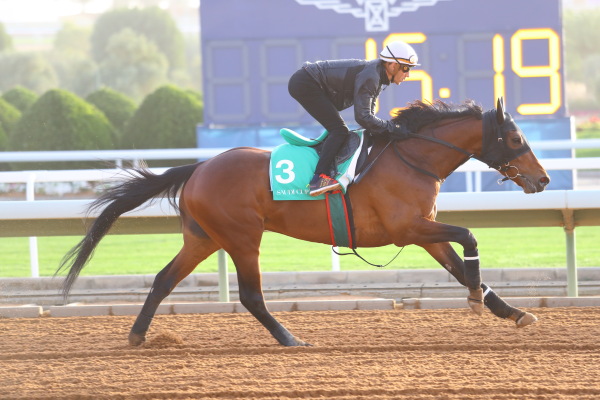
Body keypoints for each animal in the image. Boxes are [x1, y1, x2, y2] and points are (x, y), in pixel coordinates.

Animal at [57, 98, 548, 346]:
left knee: (162, 280)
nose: (543, 179)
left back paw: (137, 336)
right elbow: (470, 237)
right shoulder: (406, 230)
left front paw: (513, 312)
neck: (411, 158)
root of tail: (198, 167)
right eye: (515, 138)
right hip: (241, 237)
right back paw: (290, 339)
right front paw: (476, 297)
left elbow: (463, 266)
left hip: (203, 238)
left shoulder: (425, 232)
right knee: (251, 295)